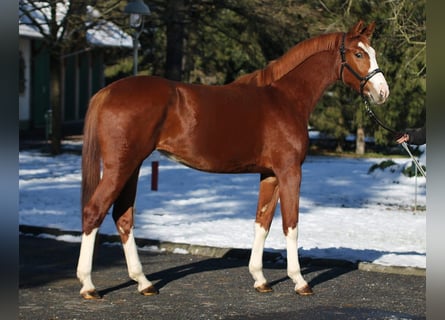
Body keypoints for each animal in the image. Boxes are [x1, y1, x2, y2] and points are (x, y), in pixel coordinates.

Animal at [77, 21, 388, 298]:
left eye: (372, 52)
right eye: (359, 54)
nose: (382, 92)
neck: (286, 99)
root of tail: (106, 92)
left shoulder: (270, 174)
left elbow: (262, 222)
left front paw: (260, 279)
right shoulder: (289, 171)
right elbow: (291, 224)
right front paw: (299, 281)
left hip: (132, 167)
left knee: (123, 217)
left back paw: (143, 282)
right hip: (120, 167)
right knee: (94, 211)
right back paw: (89, 285)